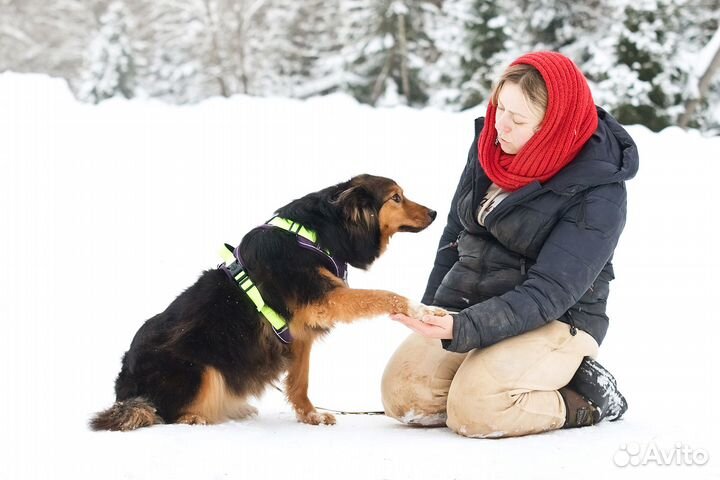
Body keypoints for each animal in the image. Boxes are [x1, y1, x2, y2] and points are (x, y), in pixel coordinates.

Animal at [90, 174, 444, 430]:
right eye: (396, 197)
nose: (435, 212)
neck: (318, 232)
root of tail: (125, 389)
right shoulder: (324, 298)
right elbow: (386, 295)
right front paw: (421, 309)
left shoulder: (300, 332)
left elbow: (299, 382)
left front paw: (311, 416)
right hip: (201, 369)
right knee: (167, 413)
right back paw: (196, 418)